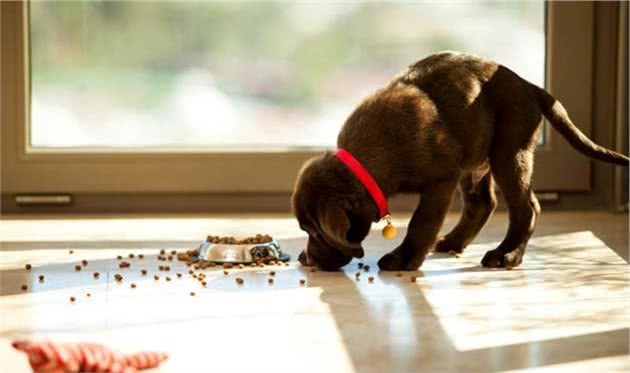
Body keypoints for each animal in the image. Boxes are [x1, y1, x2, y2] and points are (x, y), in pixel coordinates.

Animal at [292, 51, 630, 270]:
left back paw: (506, 255)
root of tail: (529, 86)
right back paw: (454, 242)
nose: (307, 260)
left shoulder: (441, 179)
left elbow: (421, 222)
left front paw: (404, 259)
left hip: (509, 152)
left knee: (527, 208)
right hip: (477, 159)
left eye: (315, 232)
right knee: (483, 203)